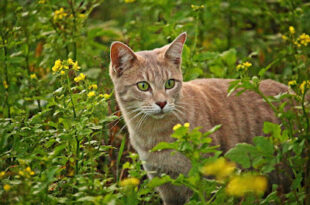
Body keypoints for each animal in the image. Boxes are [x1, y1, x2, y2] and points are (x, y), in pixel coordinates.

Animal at [109, 32, 288, 205]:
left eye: (169, 83)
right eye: (143, 86)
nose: (161, 102)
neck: (154, 135)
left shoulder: (202, 182)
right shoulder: (165, 185)